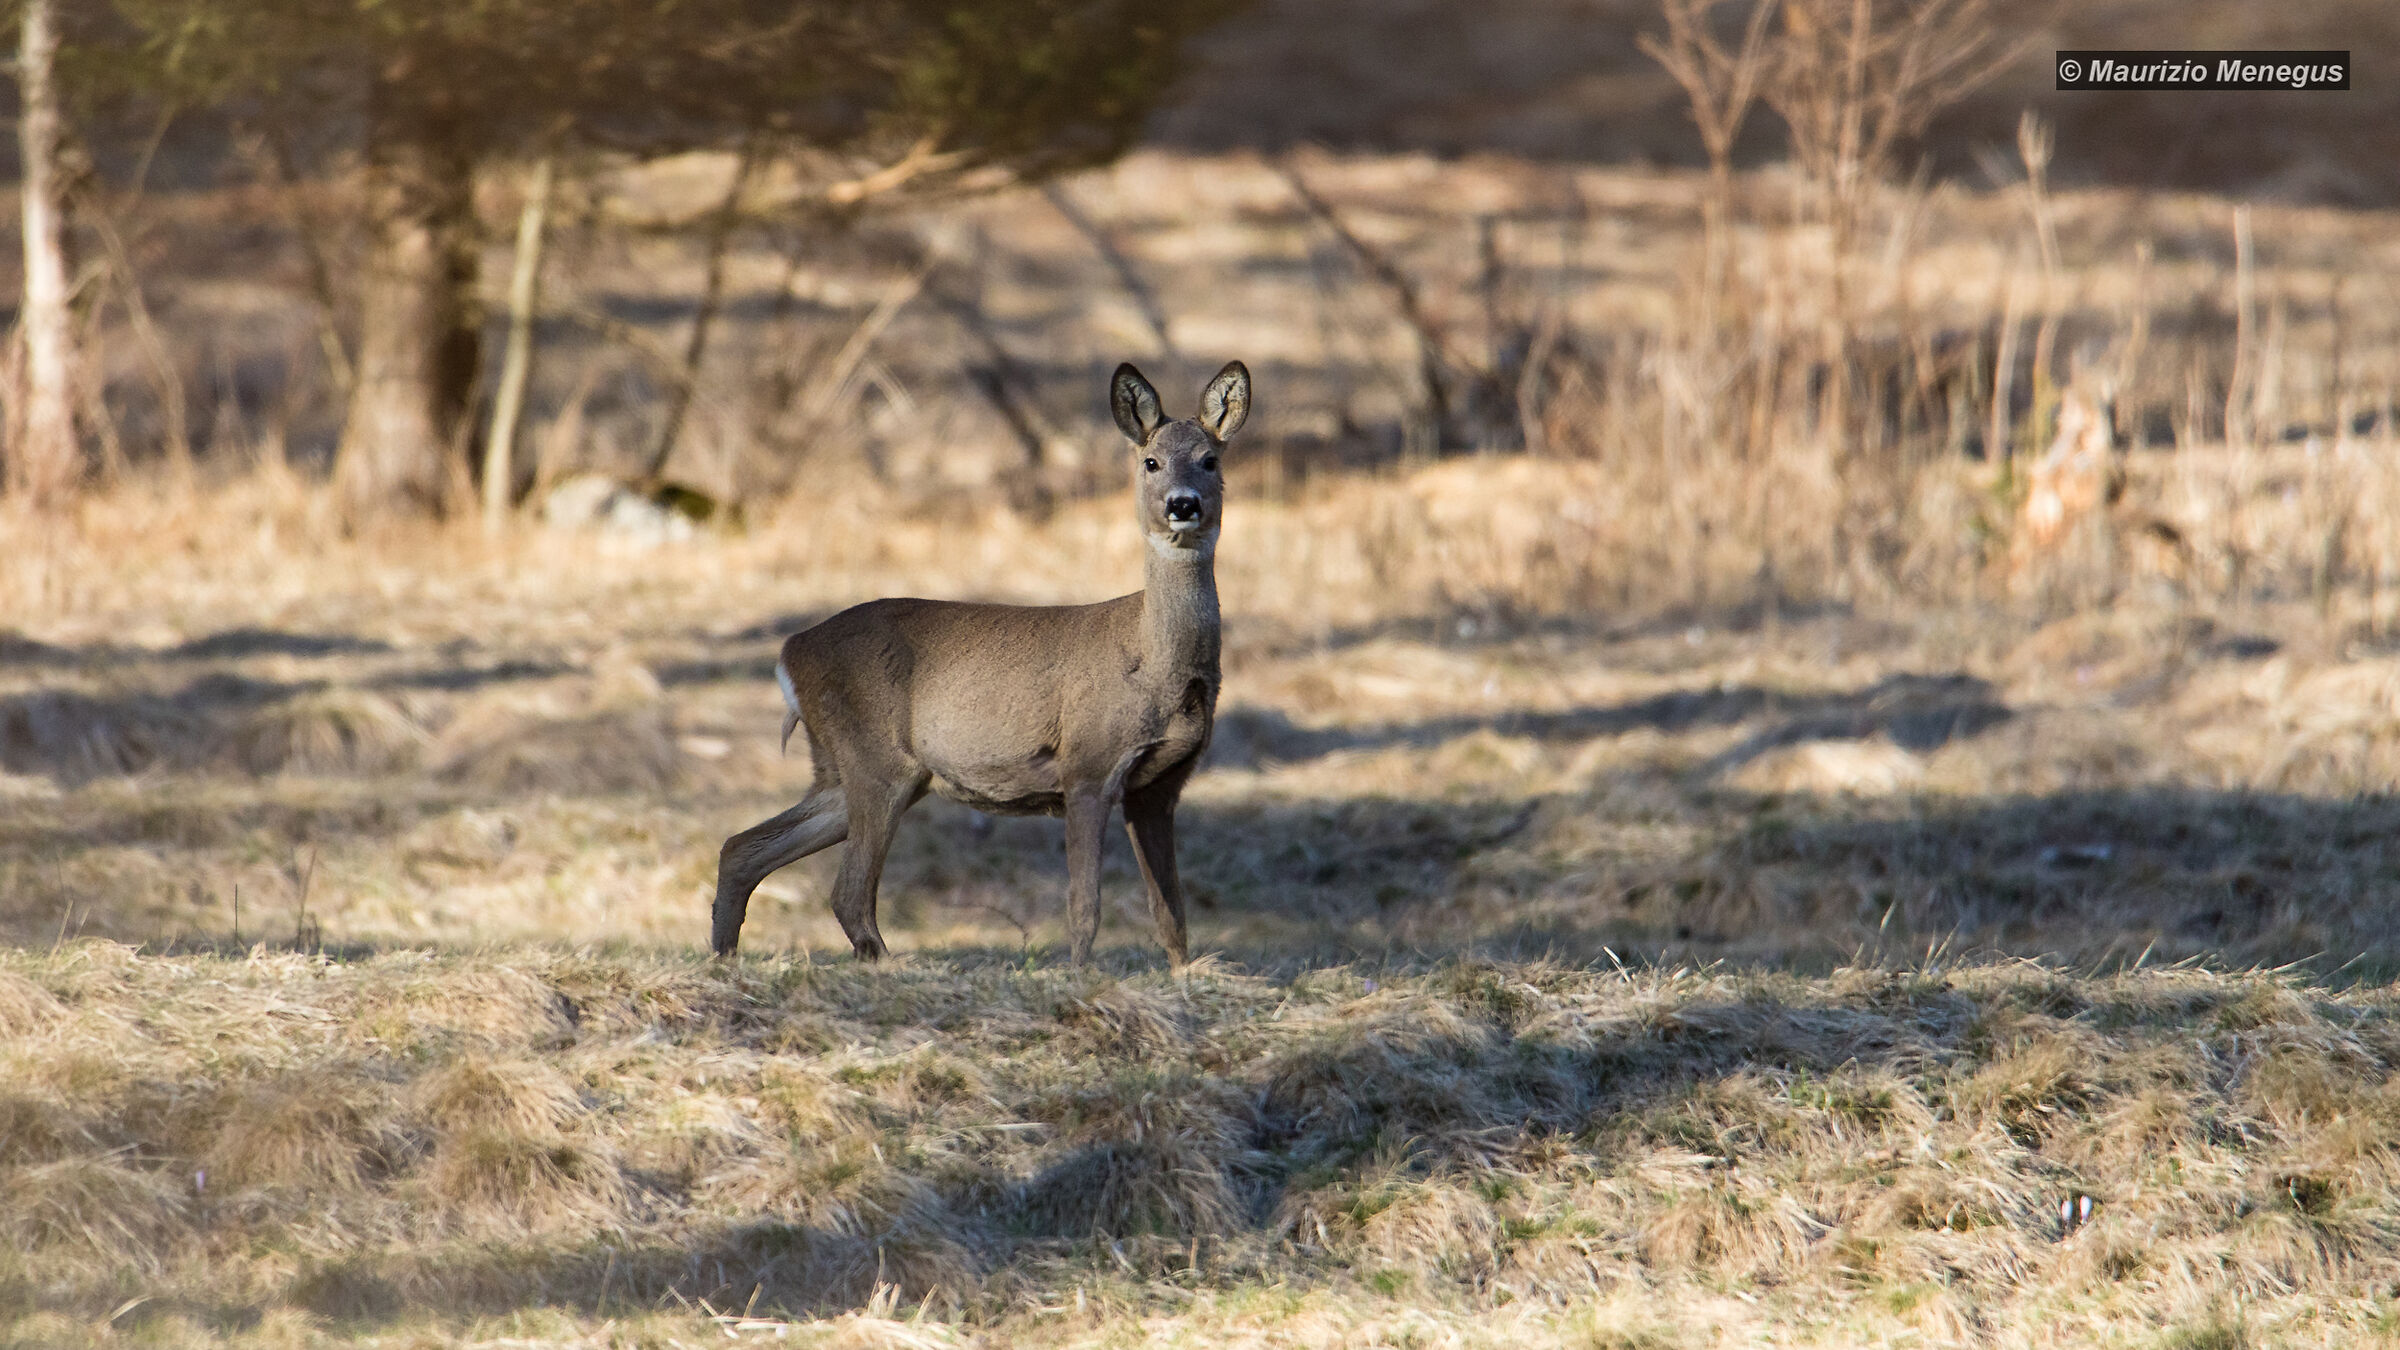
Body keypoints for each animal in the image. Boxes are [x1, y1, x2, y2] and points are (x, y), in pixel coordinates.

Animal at [710, 360, 1251, 968]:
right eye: (1150, 461)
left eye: (1210, 459)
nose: (1183, 504)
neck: (1156, 665)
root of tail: (789, 653)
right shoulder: (1088, 764)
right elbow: (1084, 905)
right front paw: (1079, 977)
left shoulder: (1159, 788)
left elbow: (1172, 914)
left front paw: (1185, 977)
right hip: (877, 759)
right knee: (846, 890)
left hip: (843, 768)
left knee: (742, 848)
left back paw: (724, 959)